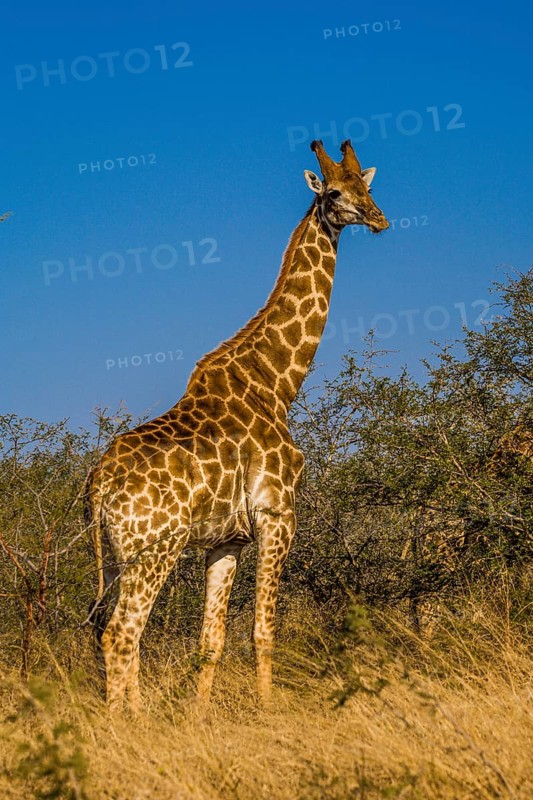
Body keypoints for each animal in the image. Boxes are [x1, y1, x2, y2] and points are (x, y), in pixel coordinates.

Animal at [86, 139, 389, 711]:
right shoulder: (278, 515)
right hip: (155, 547)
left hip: (117, 556)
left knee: (105, 631)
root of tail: (98, 485)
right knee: (122, 633)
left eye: (366, 185)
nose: (380, 219)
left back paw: (134, 715)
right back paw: (126, 723)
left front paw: (199, 717)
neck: (277, 381)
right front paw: (270, 712)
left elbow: (212, 638)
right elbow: (263, 630)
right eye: (335, 193)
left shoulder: (227, 540)